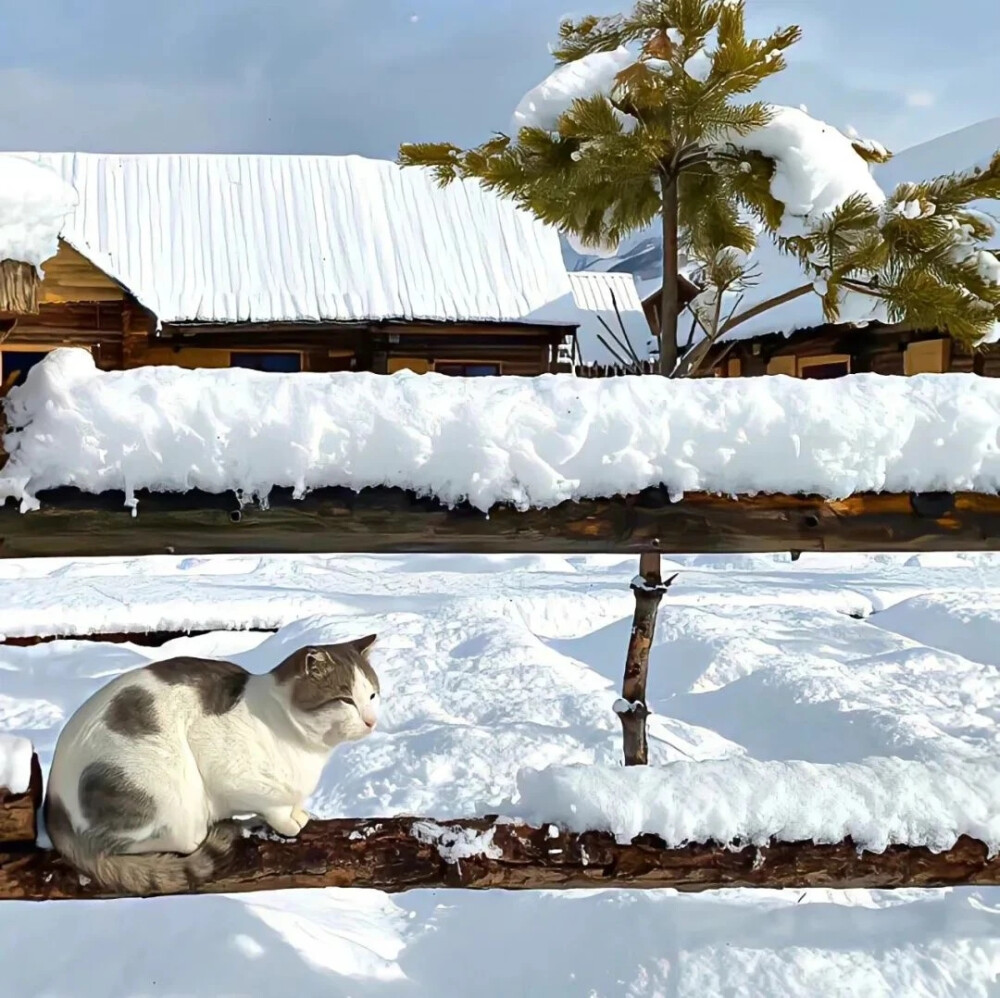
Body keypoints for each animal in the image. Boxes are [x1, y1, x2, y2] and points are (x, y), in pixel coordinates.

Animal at [43, 636, 380, 904]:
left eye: (373, 695)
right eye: (346, 700)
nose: (371, 720)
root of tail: (52, 806)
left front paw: (298, 811)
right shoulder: (219, 760)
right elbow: (270, 801)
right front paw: (285, 819)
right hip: (166, 790)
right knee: (146, 842)